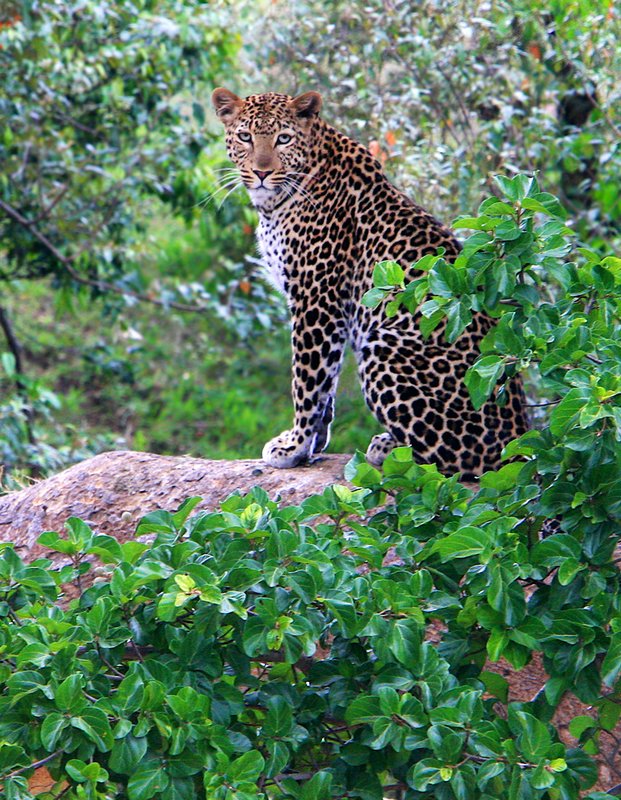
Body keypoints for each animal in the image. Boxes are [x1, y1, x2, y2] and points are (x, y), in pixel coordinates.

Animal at [212, 88, 528, 481]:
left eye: (282, 139)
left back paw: (388, 448)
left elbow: (306, 380)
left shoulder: (316, 297)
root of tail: (522, 434)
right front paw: (313, 444)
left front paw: (293, 446)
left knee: (467, 463)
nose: (261, 172)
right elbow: (326, 383)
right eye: (245, 137)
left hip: (384, 348)